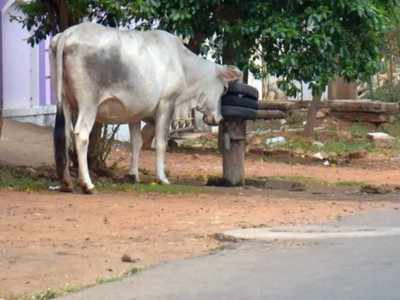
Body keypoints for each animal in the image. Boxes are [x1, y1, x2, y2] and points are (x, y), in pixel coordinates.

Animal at [51, 22, 242, 193]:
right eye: (225, 88)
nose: (218, 118)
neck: (183, 64)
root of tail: (67, 33)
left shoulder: (133, 113)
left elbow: (136, 142)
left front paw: (133, 175)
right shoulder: (167, 104)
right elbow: (161, 143)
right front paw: (162, 178)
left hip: (65, 102)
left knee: (64, 134)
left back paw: (66, 183)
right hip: (88, 104)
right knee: (81, 135)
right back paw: (87, 184)